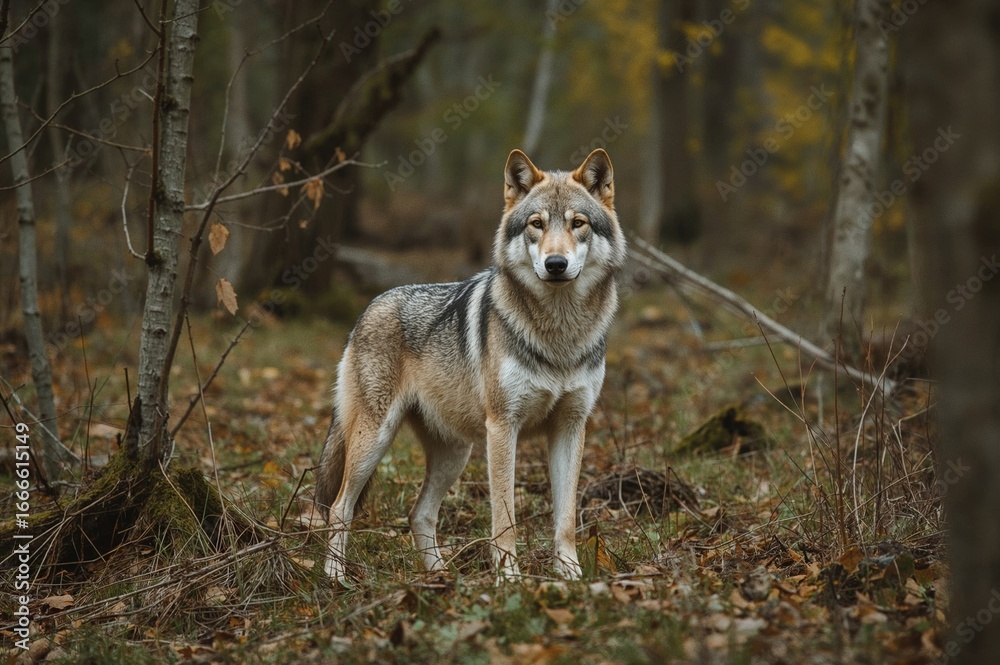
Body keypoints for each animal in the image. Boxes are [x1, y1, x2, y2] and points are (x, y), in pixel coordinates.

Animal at [315, 148, 626, 582]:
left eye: (577, 223)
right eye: (536, 224)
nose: (555, 264)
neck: (559, 335)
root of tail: (371, 305)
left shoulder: (571, 426)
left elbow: (565, 518)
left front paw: (571, 576)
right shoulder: (502, 427)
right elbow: (505, 517)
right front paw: (510, 579)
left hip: (455, 454)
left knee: (418, 514)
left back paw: (440, 577)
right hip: (374, 440)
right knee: (339, 508)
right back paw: (336, 579)